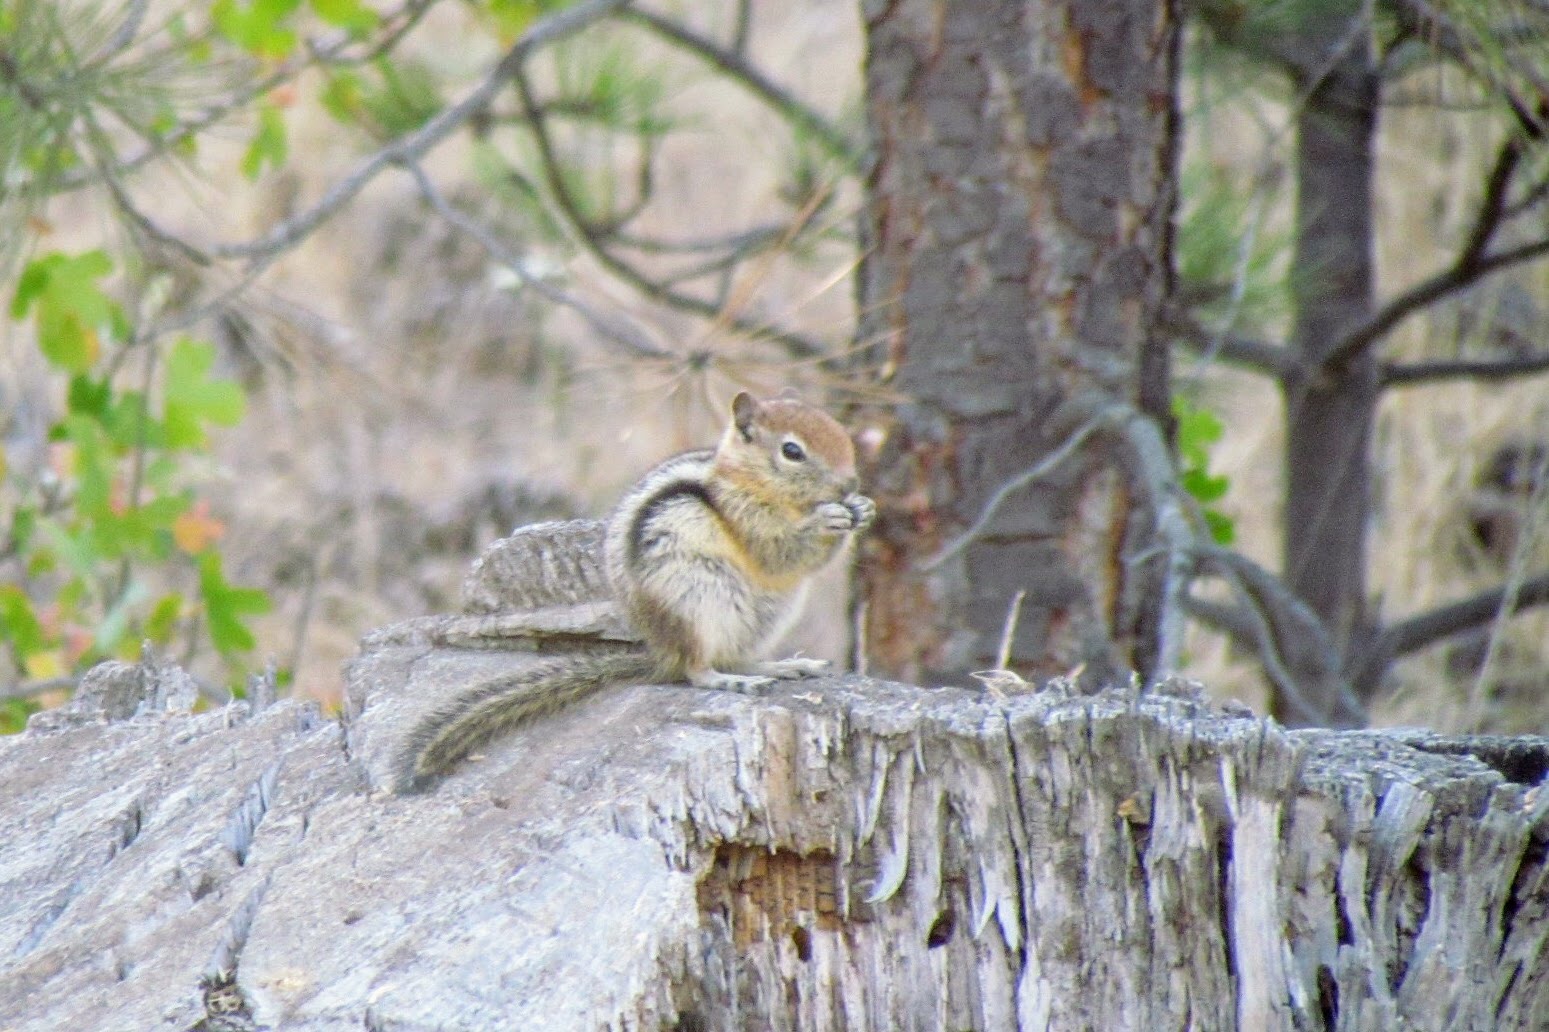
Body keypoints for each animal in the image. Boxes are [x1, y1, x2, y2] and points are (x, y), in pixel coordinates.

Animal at [391, 391, 875, 792]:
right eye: (792, 451)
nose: (850, 485)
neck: (750, 482)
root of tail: (661, 651)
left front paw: (863, 509)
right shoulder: (745, 517)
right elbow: (779, 552)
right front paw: (829, 518)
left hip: (770, 613)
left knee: (737, 654)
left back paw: (782, 667)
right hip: (697, 601)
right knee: (697, 668)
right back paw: (727, 679)